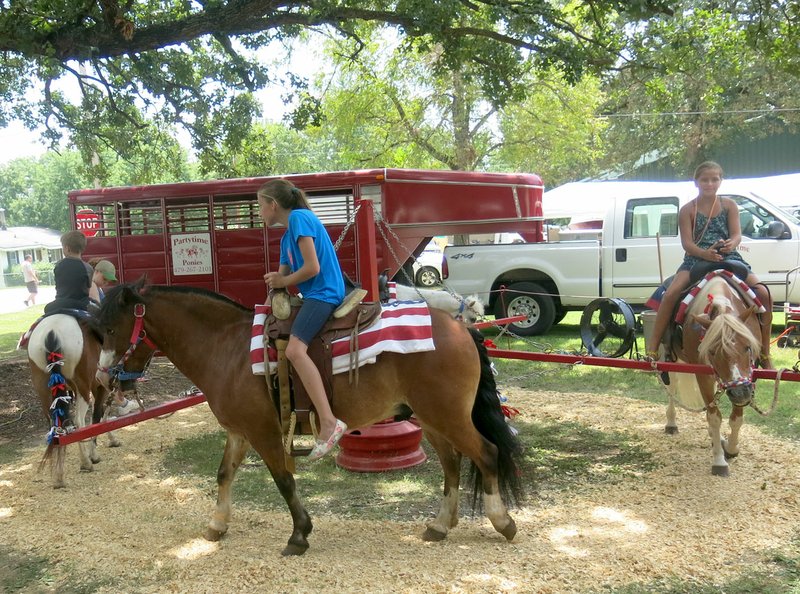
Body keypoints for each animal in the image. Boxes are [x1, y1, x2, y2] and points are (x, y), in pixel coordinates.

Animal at [95, 280, 524, 552]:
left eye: (111, 328)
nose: (102, 376)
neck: (227, 348)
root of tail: (461, 329)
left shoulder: (263, 431)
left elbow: (283, 480)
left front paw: (299, 534)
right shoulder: (238, 431)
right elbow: (223, 473)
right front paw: (218, 524)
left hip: (447, 416)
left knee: (485, 454)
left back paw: (501, 521)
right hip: (433, 418)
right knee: (452, 463)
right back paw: (440, 525)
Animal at [664, 276, 764, 474]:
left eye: (747, 347)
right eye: (711, 351)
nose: (739, 393)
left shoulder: (742, 381)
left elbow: (736, 419)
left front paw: (731, 448)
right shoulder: (702, 374)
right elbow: (714, 417)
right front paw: (719, 460)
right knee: (672, 385)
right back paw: (671, 423)